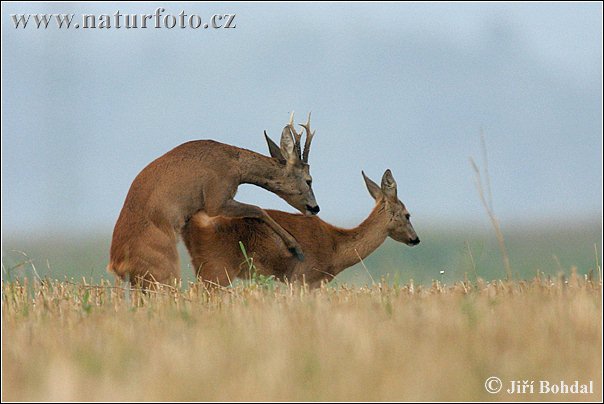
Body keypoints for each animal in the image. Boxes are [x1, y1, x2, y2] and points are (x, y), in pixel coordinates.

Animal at [111, 112, 324, 286]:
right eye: (309, 180)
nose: (315, 208)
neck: (235, 165)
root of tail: (116, 264)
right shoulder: (216, 198)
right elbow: (257, 209)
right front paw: (296, 248)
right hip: (163, 267)